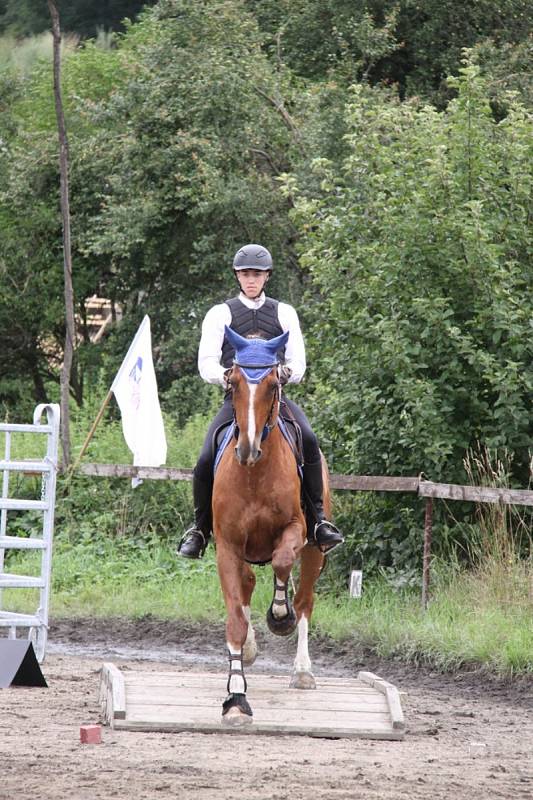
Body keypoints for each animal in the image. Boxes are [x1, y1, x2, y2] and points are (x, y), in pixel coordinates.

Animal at [211, 324, 328, 724]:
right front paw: (236, 698)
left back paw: (303, 670)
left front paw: (280, 615)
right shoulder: (228, 548)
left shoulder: (296, 530)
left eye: (274, 384)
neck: (255, 475)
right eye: (233, 382)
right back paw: (249, 650)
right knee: (247, 584)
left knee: (304, 598)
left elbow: (281, 562)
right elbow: (235, 617)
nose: (246, 449)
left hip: (315, 550)